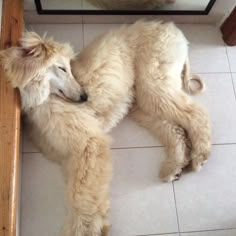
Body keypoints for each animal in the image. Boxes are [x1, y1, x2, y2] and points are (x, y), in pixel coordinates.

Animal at [0, 32, 112, 235]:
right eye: (62, 68)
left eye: (70, 68)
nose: (85, 97)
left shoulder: (88, 142)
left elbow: (82, 190)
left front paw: (84, 226)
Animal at [71, 20, 211, 183]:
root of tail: (177, 32)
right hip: (143, 103)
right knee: (174, 130)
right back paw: (174, 167)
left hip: (152, 83)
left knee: (196, 114)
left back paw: (200, 155)